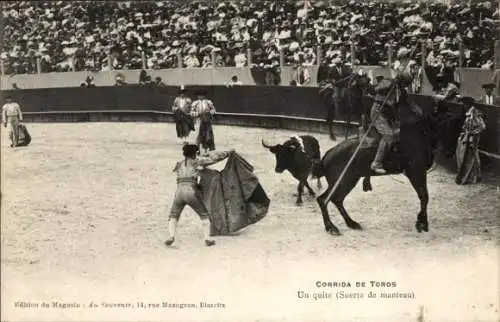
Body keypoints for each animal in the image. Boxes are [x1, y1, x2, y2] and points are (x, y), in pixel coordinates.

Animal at [310, 92, 458, 235]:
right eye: (446, 124)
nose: (449, 152)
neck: (421, 134)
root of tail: (327, 156)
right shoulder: (416, 172)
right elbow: (424, 196)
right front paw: (422, 224)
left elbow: (423, 196)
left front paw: (421, 222)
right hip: (342, 181)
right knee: (325, 199)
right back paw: (331, 227)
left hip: (348, 180)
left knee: (336, 199)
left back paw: (351, 223)